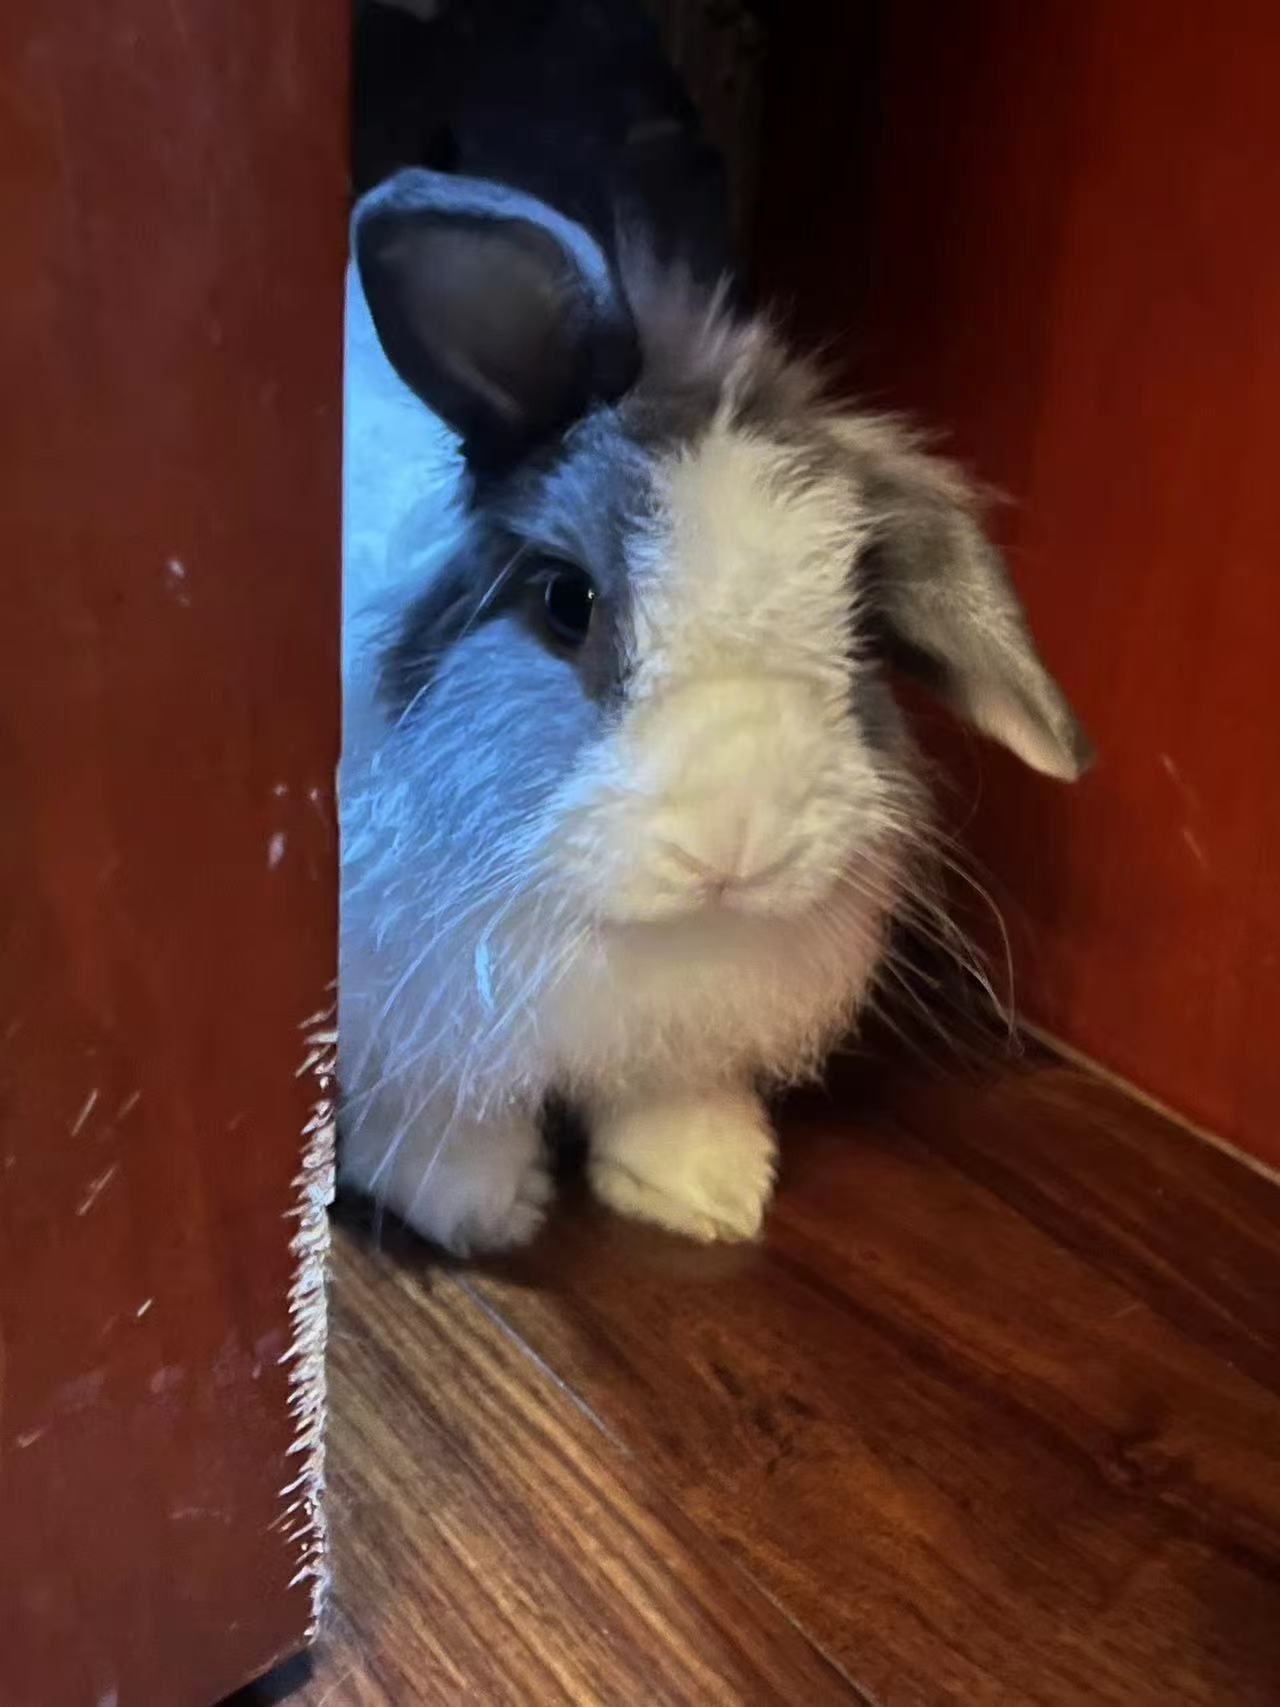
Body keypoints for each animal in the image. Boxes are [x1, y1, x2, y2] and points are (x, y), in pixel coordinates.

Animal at [338, 167, 1092, 1254]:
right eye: (567, 602)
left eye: (857, 625)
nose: (738, 837)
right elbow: (442, 1111)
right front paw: (482, 1208)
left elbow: (670, 1096)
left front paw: (709, 1189)